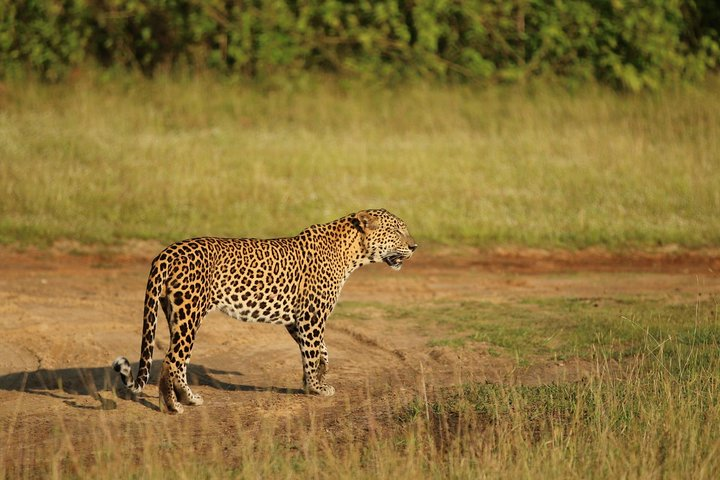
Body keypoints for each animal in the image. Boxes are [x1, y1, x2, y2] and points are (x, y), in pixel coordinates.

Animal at [112, 208, 416, 414]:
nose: (414, 246)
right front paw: (316, 388)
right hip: (190, 314)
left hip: (175, 314)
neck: (352, 252)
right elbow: (313, 352)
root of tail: (166, 252)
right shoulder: (312, 316)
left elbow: (322, 351)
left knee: (178, 360)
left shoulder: (296, 320)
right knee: (172, 361)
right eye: (397, 231)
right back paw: (174, 407)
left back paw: (187, 399)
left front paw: (317, 379)